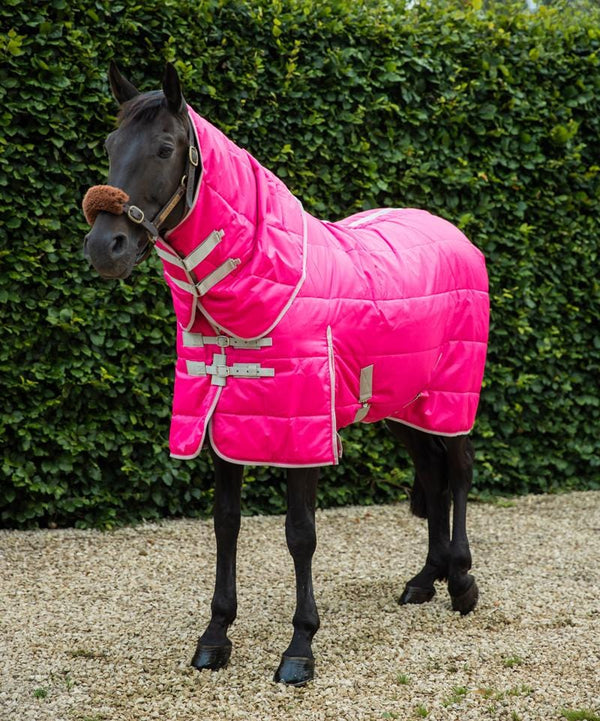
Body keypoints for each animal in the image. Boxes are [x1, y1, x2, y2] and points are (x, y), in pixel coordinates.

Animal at [82, 62, 489, 686]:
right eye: (108, 145)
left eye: (165, 148)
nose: (107, 247)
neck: (268, 281)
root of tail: (455, 235)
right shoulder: (222, 423)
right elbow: (226, 524)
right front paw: (215, 637)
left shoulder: (304, 434)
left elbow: (301, 534)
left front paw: (300, 648)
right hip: (401, 403)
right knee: (433, 473)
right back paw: (427, 579)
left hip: (450, 396)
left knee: (460, 470)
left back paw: (462, 582)